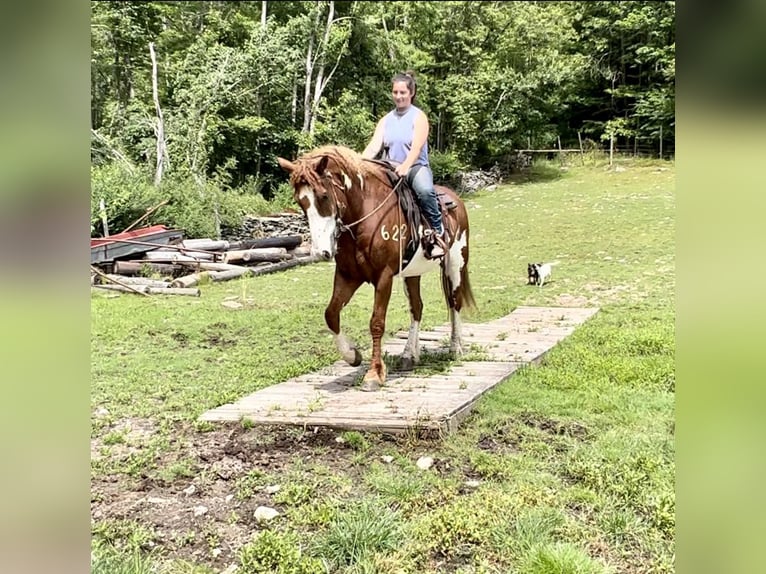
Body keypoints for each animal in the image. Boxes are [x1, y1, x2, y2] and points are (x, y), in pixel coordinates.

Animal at [280, 146, 476, 394]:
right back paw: (409, 355)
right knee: (417, 308)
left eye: (324, 195)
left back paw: (455, 348)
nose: (320, 252)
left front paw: (374, 374)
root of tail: (455, 198)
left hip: (455, 263)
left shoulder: (384, 276)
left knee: (454, 301)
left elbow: (377, 323)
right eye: (300, 202)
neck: (365, 213)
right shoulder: (348, 275)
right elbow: (331, 314)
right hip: (412, 273)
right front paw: (352, 356)